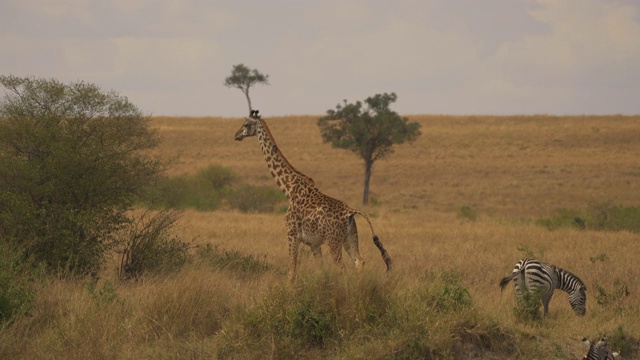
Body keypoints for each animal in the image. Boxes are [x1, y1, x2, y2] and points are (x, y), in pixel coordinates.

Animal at [235, 109, 392, 282]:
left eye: (246, 124)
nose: (236, 135)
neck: (289, 189)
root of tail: (350, 212)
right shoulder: (313, 243)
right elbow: (320, 270)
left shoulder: (292, 234)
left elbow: (292, 271)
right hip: (350, 237)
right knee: (359, 262)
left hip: (333, 240)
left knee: (341, 268)